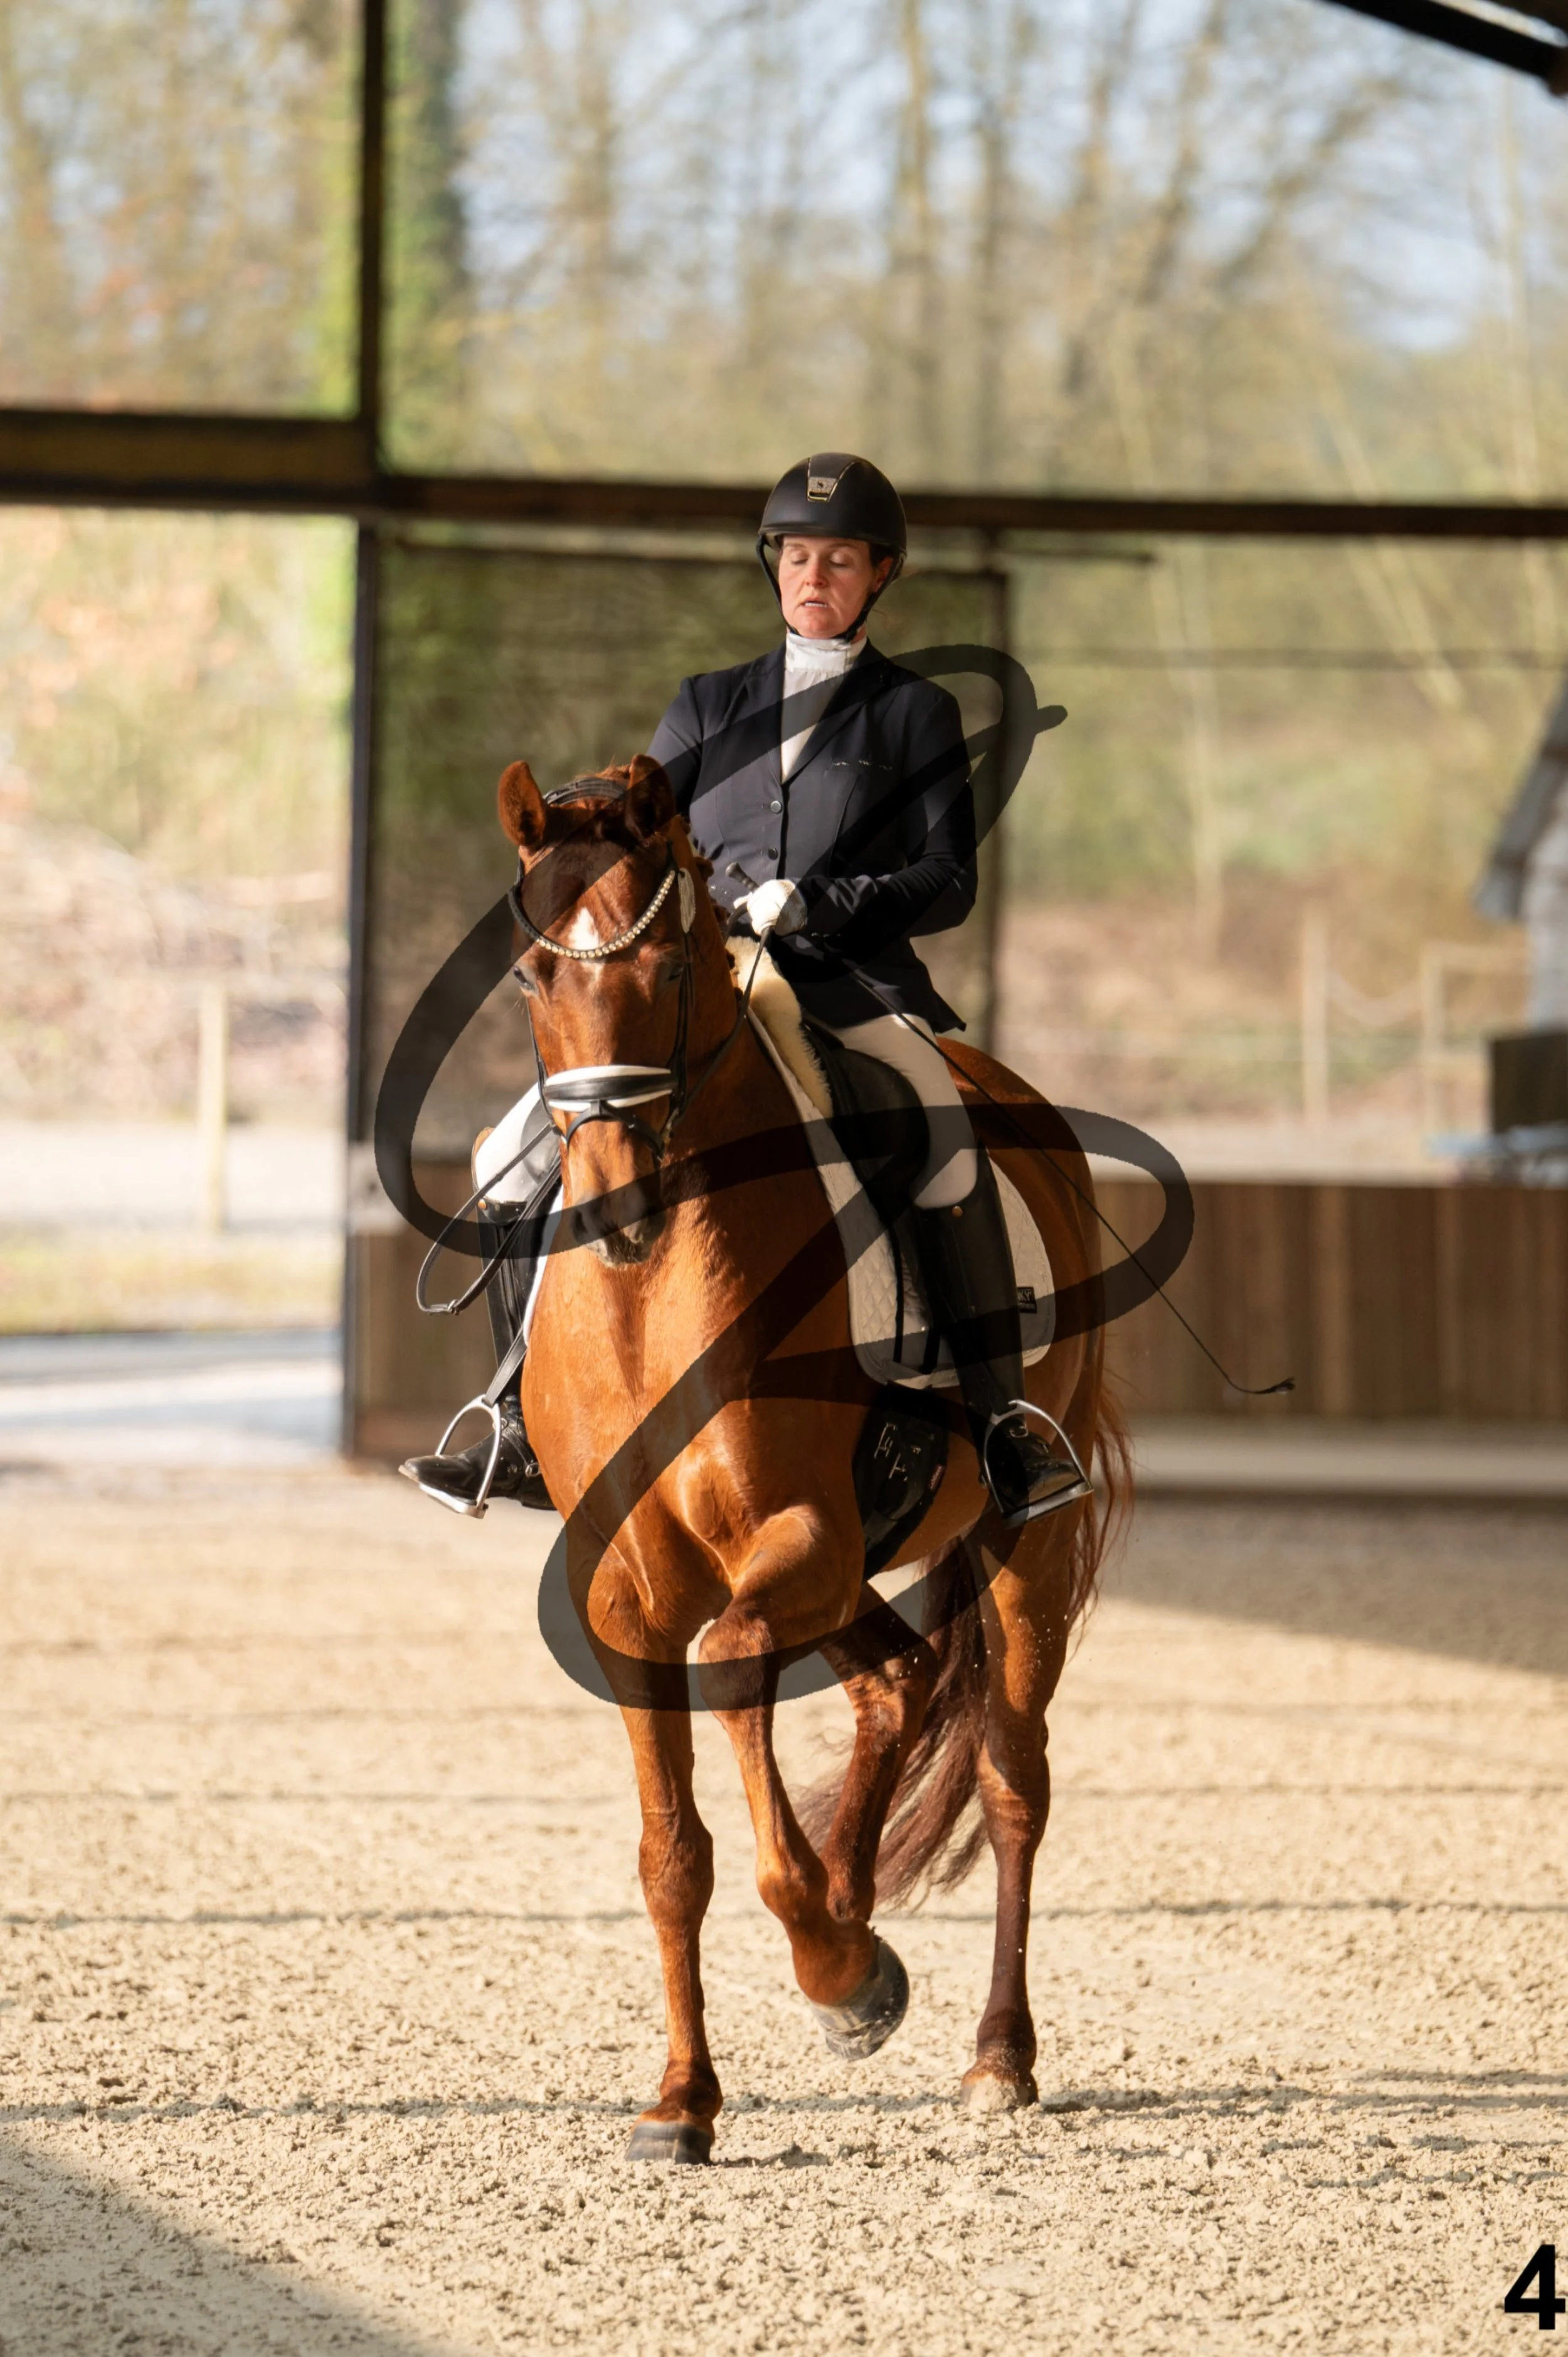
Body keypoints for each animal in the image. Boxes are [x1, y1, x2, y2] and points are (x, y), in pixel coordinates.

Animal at [495, 751, 1130, 2162]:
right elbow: (669, 1855)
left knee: (1011, 1776)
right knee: (895, 1685)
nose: (614, 1203)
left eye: (672, 962)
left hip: (1019, 1540)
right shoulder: (627, 1590)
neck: (652, 1291)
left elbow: (736, 1672)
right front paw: (683, 2100)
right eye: (530, 974)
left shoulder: (802, 1535)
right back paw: (855, 1921)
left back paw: (992, 2051)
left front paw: (840, 1971)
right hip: (852, 1573)